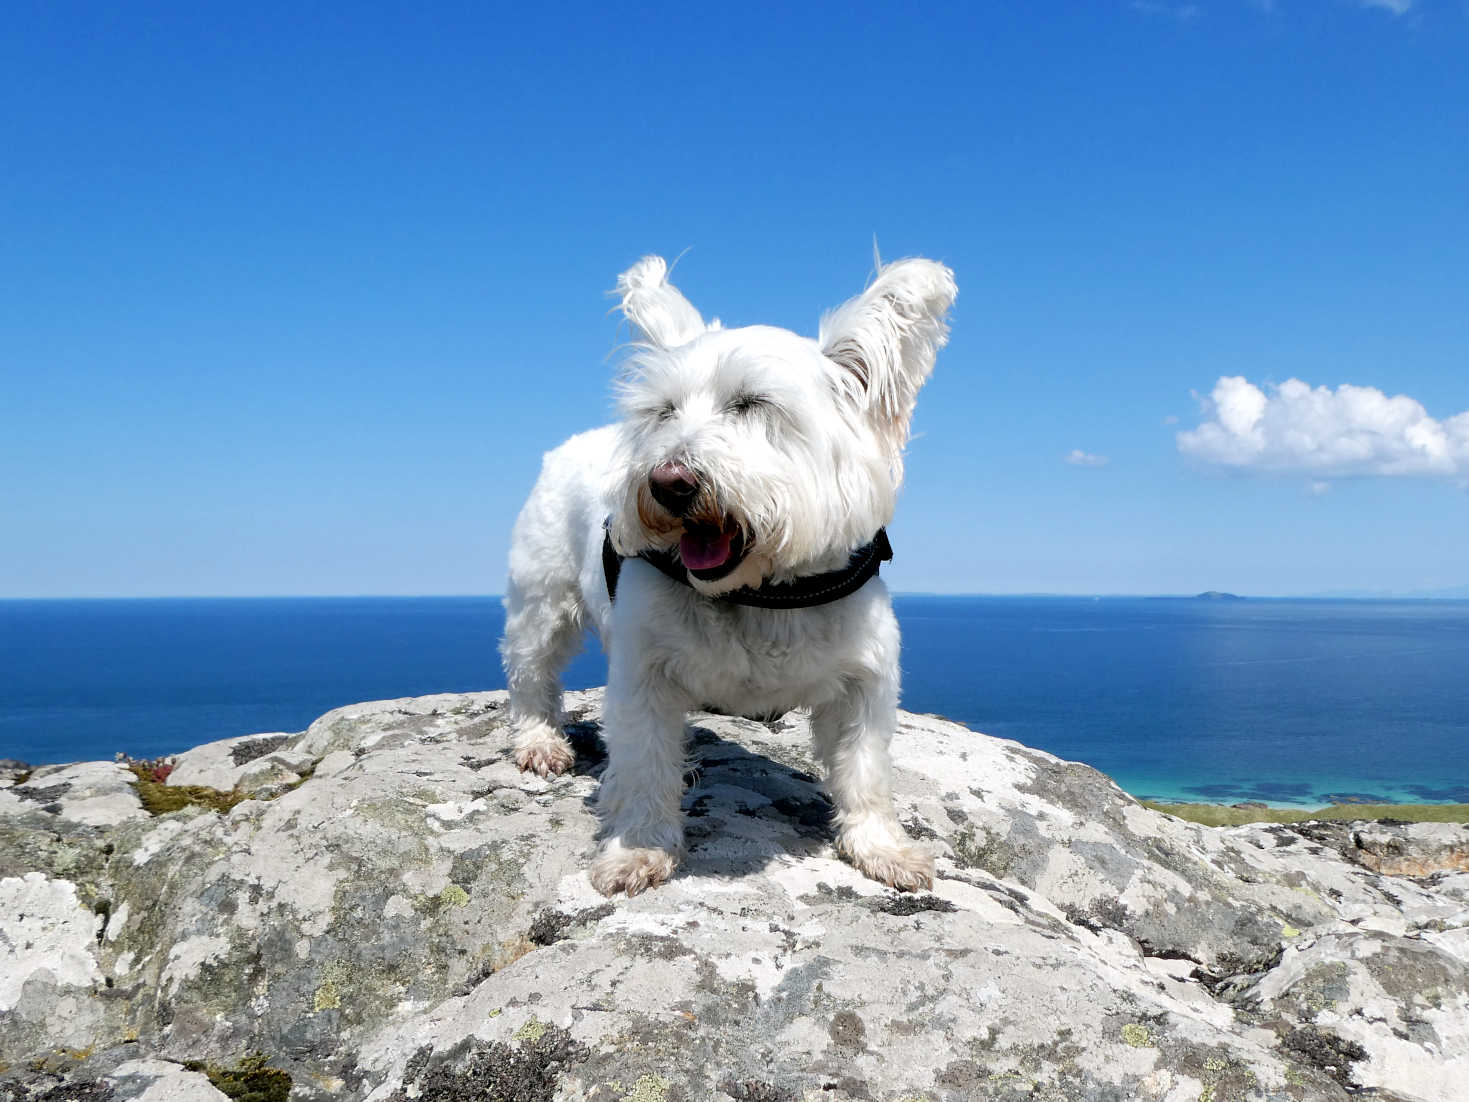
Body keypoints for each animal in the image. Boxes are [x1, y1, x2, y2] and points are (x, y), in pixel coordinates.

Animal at [499, 257, 957, 899]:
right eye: (664, 411)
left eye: (752, 403)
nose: (667, 481)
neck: (759, 593)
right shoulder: (642, 676)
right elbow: (643, 764)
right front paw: (637, 850)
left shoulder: (865, 680)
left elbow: (865, 768)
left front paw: (882, 848)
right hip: (543, 602)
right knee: (531, 675)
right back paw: (540, 742)